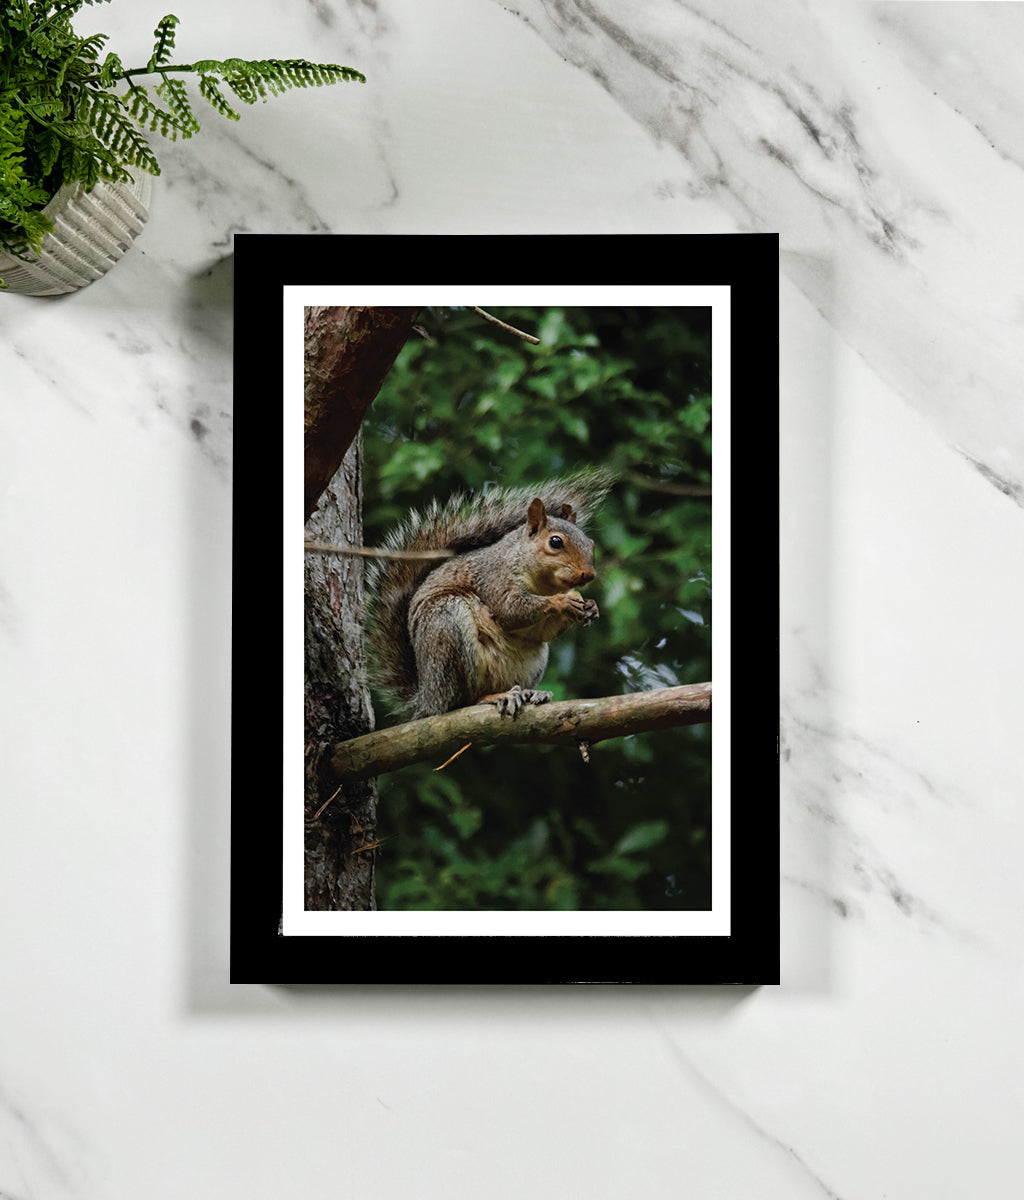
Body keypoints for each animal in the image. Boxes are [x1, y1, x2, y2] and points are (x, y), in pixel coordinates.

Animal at [366, 470, 612, 720]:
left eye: (590, 543)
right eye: (555, 542)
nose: (588, 574)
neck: (544, 584)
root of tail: (427, 700)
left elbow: (544, 631)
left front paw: (591, 607)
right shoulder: (493, 578)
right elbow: (509, 610)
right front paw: (561, 601)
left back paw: (530, 693)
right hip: (446, 627)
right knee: (462, 700)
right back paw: (494, 697)